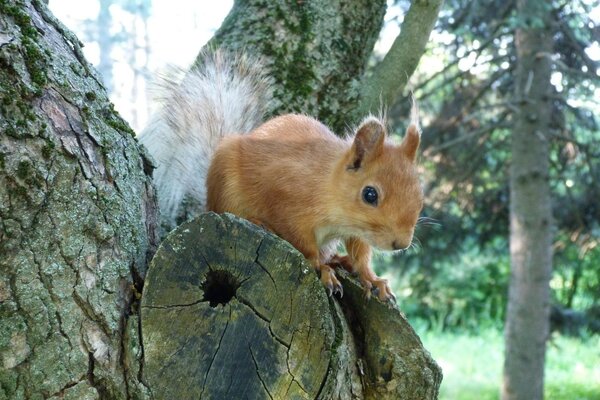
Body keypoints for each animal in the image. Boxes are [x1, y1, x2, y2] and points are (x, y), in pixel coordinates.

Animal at [141, 50, 424, 302]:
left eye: (420, 195)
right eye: (370, 194)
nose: (401, 244)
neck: (329, 187)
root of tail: (208, 199)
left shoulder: (357, 230)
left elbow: (360, 253)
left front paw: (371, 278)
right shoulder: (285, 202)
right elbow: (303, 244)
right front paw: (322, 269)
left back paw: (337, 259)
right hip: (226, 191)